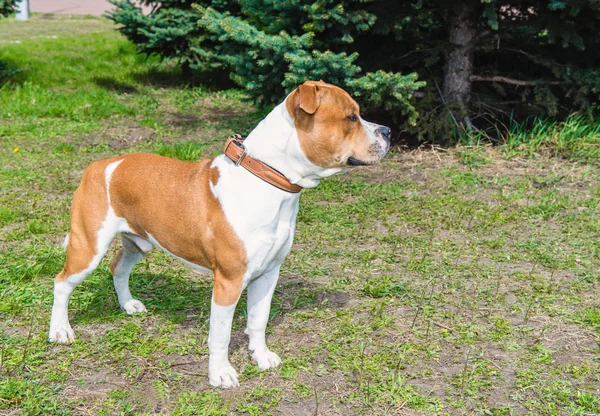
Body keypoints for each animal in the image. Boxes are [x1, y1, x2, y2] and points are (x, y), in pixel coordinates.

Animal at [49, 79, 392, 386]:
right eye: (351, 117)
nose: (388, 131)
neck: (269, 178)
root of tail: (98, 165)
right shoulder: (228, 281)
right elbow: (220, 335)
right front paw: (220, 374)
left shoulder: (268, 274)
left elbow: (258, 320)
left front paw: (261, 356)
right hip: (88, 246)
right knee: (62, 282)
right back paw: (59, 331)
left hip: (139, 242)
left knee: (118, 267)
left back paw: (128, 305)